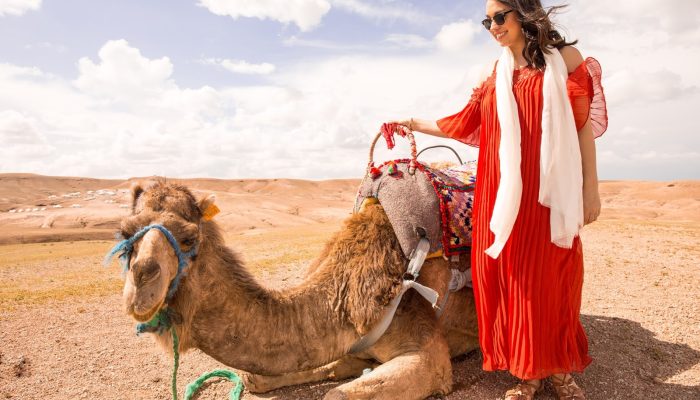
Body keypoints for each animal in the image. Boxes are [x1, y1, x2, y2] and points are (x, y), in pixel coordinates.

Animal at [118, 180, 479, 399]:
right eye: (124, 233)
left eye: (189, 238)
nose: (142, 281)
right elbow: (254, 376)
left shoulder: (429, 352)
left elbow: (336, 392)